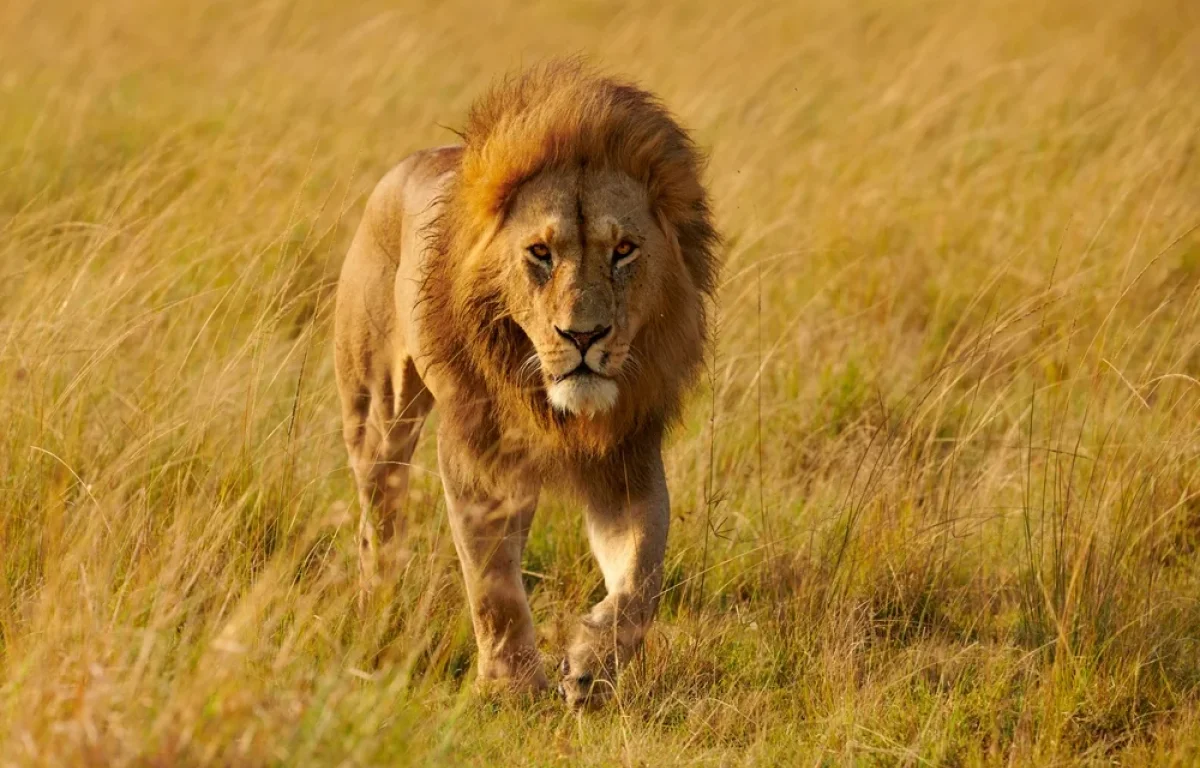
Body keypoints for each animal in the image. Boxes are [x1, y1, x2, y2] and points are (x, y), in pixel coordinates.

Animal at [333, 60, 715, 710]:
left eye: (624, 250)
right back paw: (376, 613)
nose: (583, 335)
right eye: (540, 252)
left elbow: (643, 574)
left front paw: (591, 666)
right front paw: (512, 687)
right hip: (377, 407)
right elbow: (492, 581)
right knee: (378, 516)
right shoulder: (474, 450)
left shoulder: (628, 457)